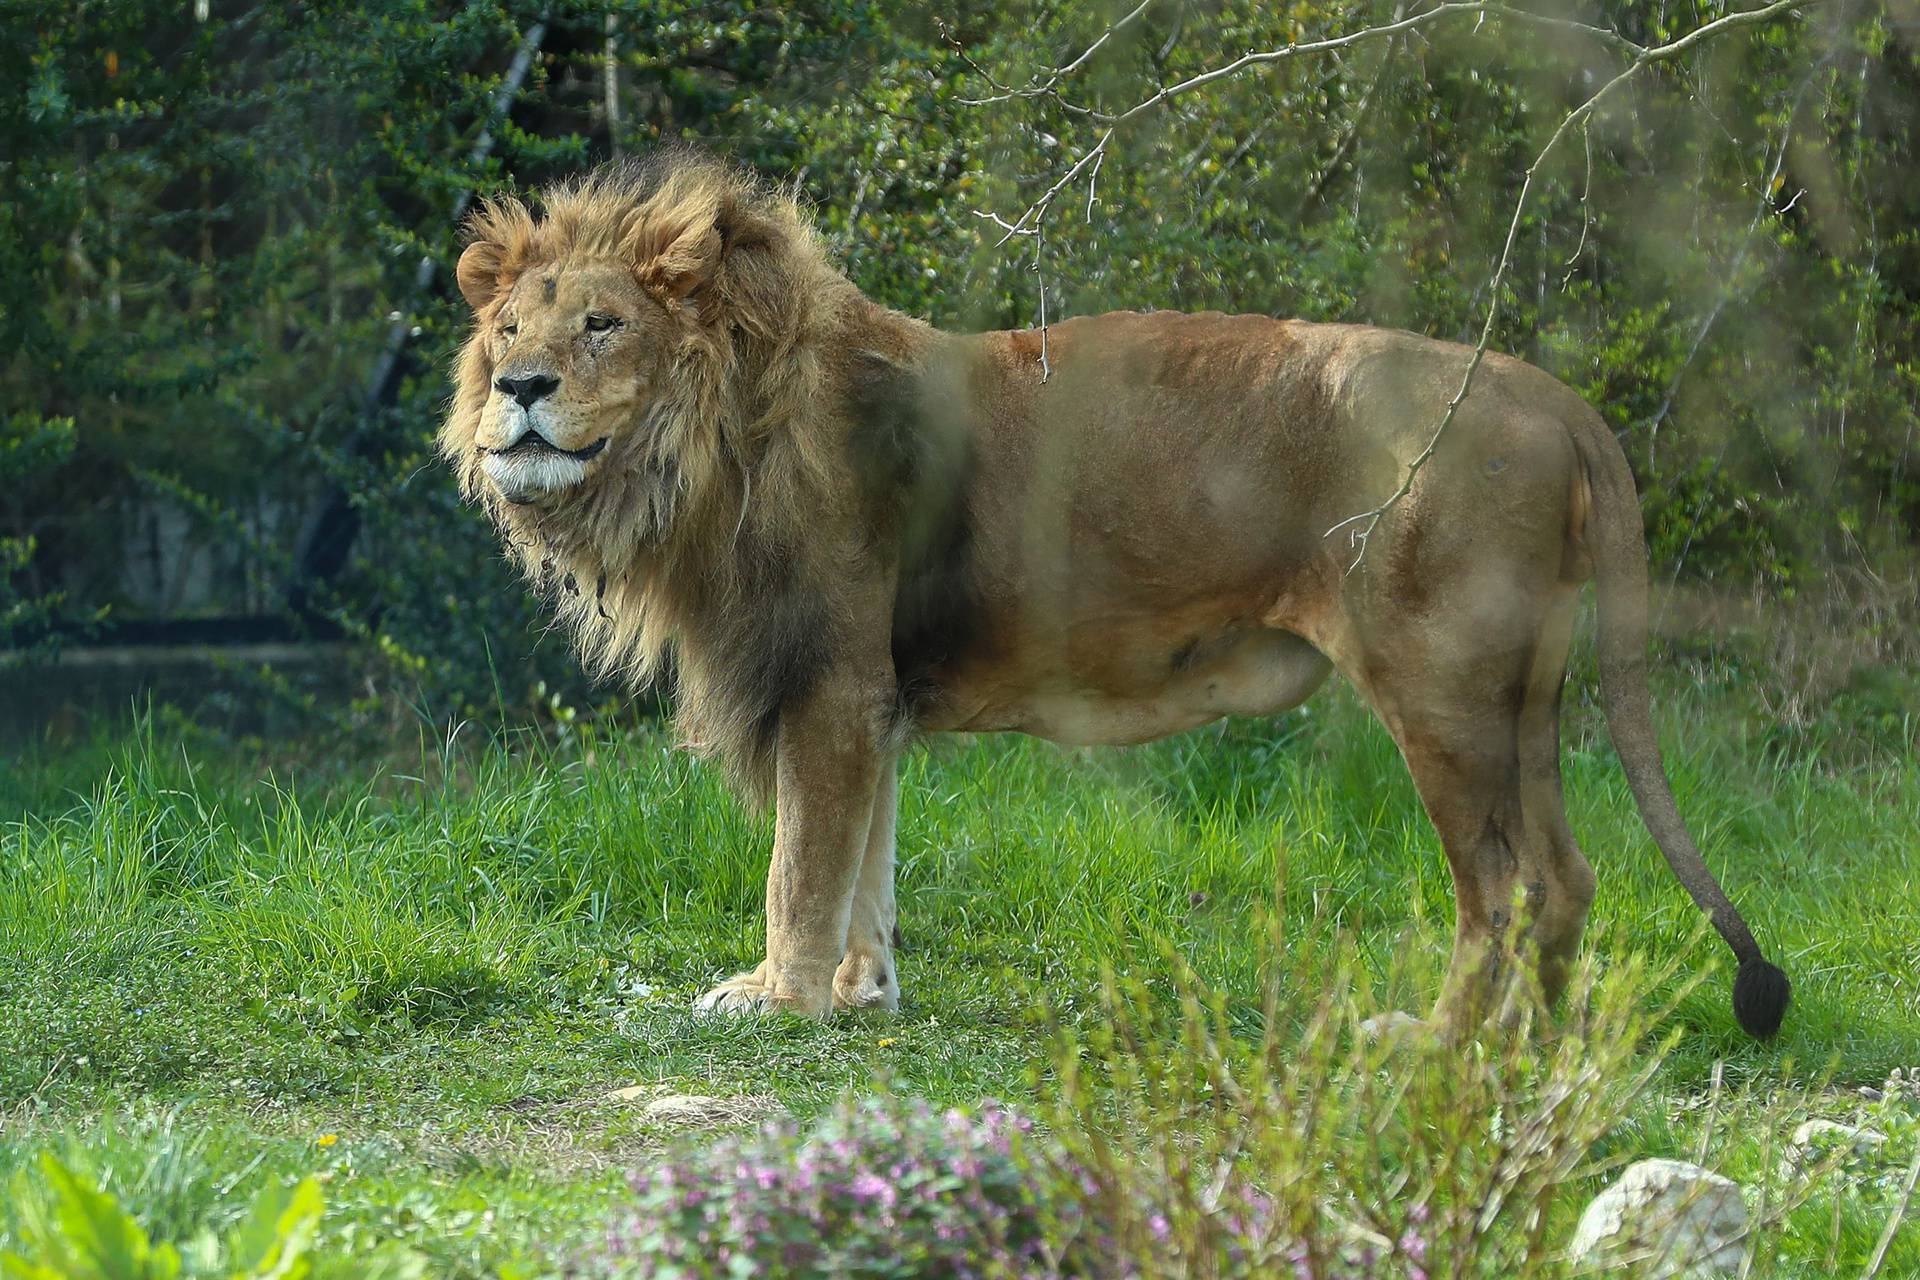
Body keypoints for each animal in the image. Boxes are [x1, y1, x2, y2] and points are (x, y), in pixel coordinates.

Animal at [441, 147, 1789, 1043]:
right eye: (507, 326)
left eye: (602, 324)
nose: (519, 386)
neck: (705, 449)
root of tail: (1551, 393)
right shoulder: (873, 693)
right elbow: (868, 854)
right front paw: (859, 991)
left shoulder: (828, 679)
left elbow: (802, 862)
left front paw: (776, 996)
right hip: (1527, 697)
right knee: (1567, 873)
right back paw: (1537, 1048)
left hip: (1442, 686)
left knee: (1505, 885)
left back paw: (1444, 1043)